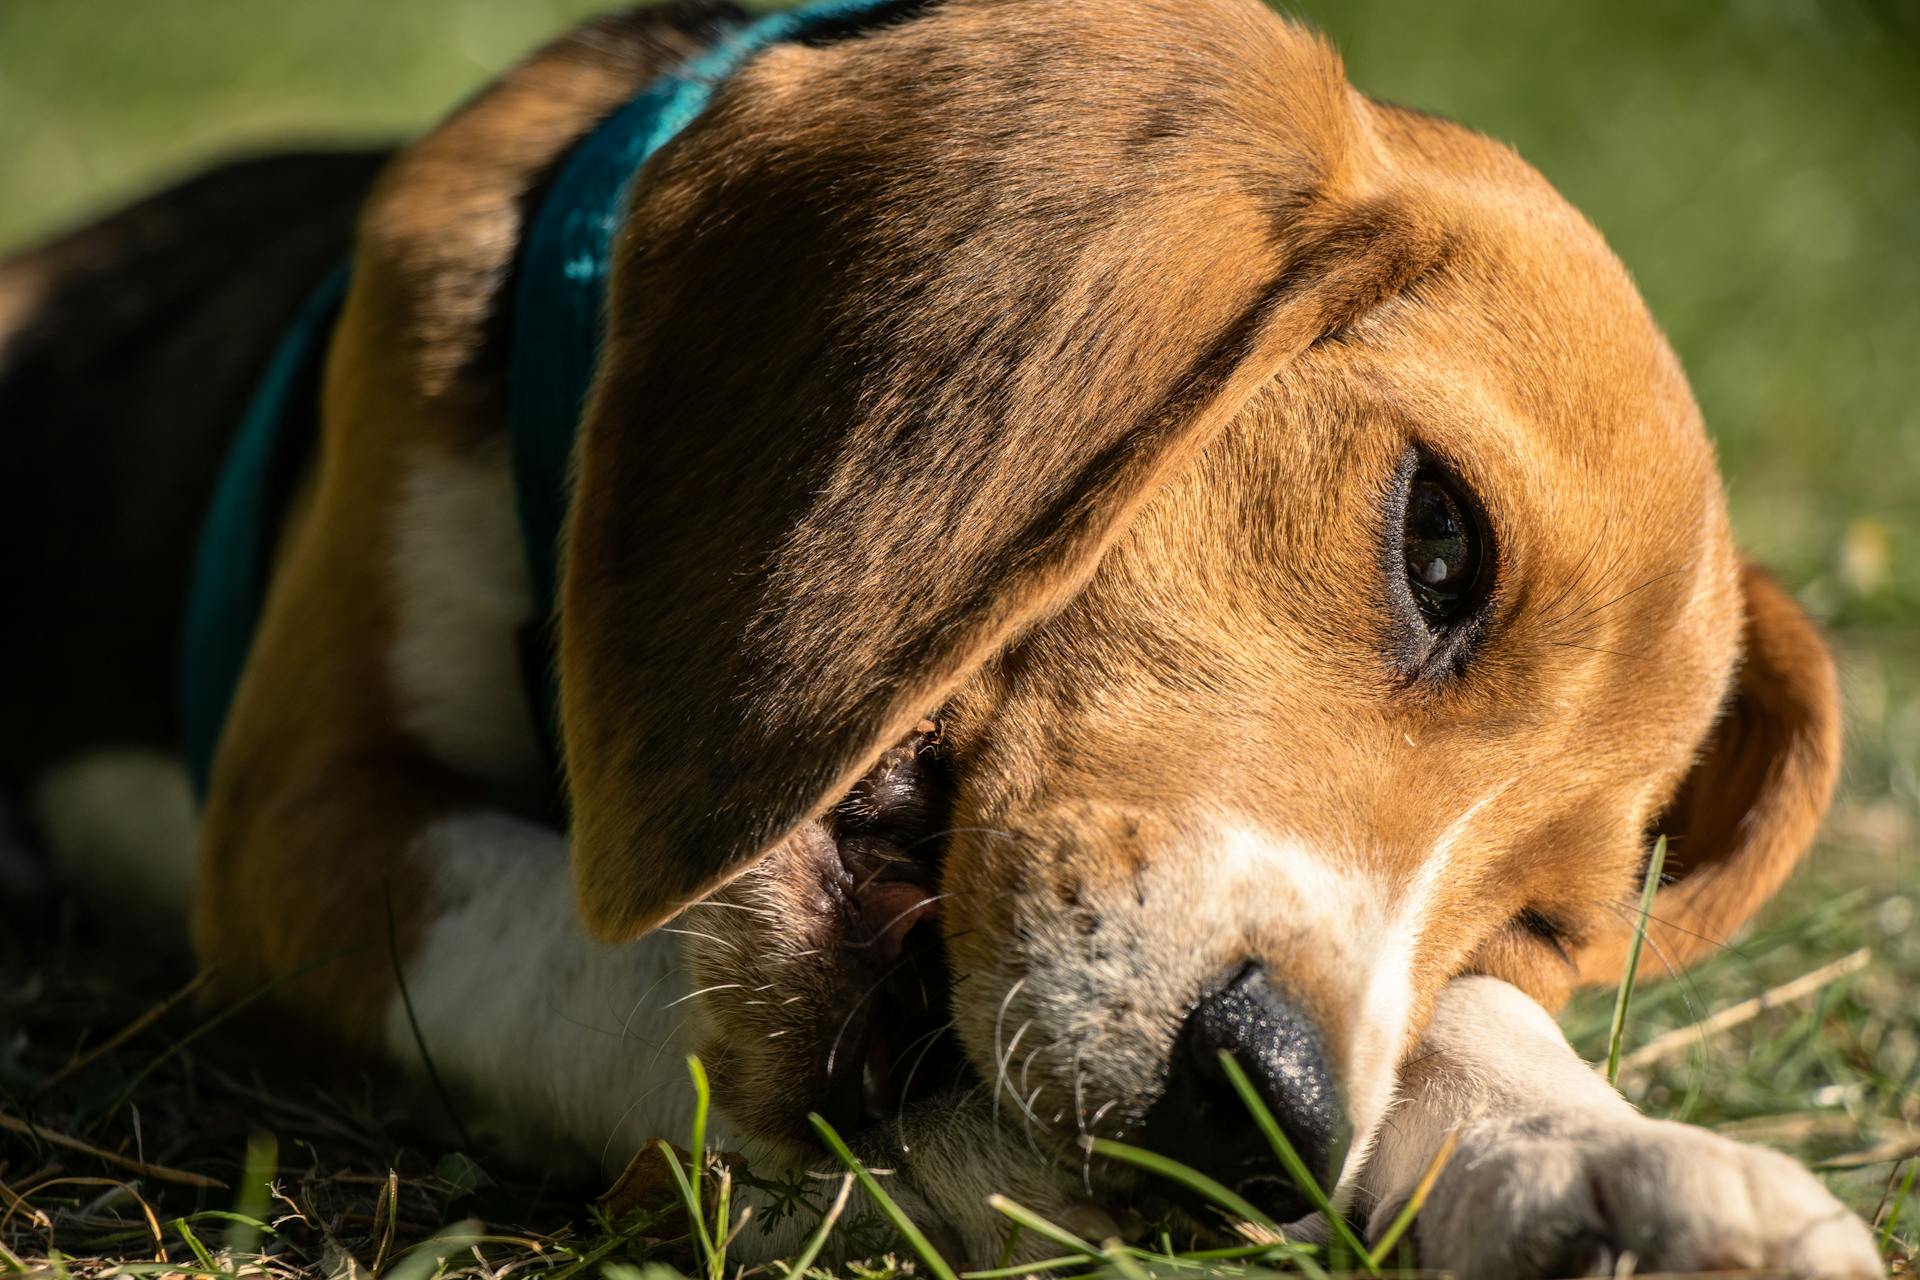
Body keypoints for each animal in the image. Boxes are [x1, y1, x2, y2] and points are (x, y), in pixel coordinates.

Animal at [0, 0, 1889, 1274]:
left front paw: (1594, 1157)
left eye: (1545, 928)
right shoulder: (310, 831)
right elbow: (620, 983)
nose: (1264, 1118)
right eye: (1440, 547)